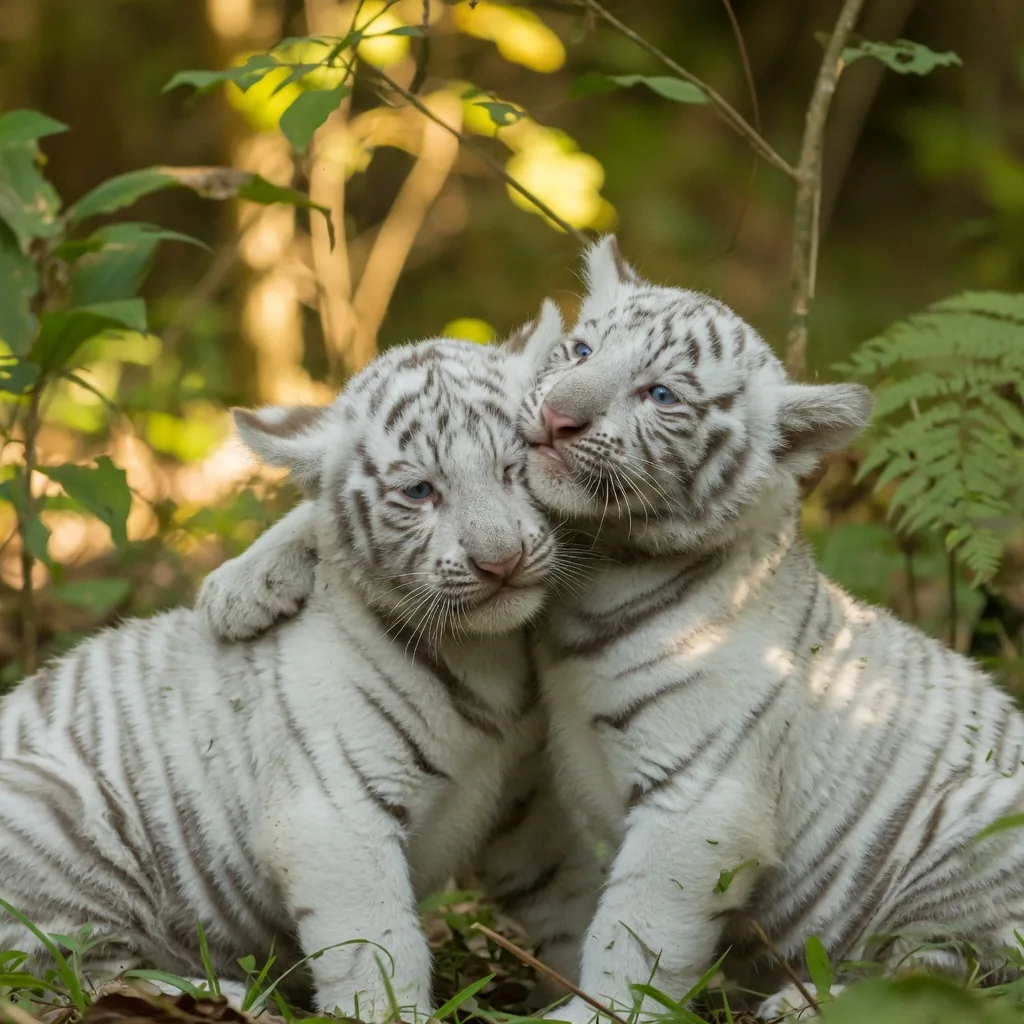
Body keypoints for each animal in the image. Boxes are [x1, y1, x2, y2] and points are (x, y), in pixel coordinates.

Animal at [0, 315, 598, 1021]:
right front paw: (394, 1012)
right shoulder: (334, 813)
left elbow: (571, 897)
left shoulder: (529, 803)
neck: (489, 651)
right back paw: (227, 996)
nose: (500, 562)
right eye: (420, 491)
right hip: (57, 815)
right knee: (70, 974)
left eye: (514, 468)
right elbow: (379, 947)